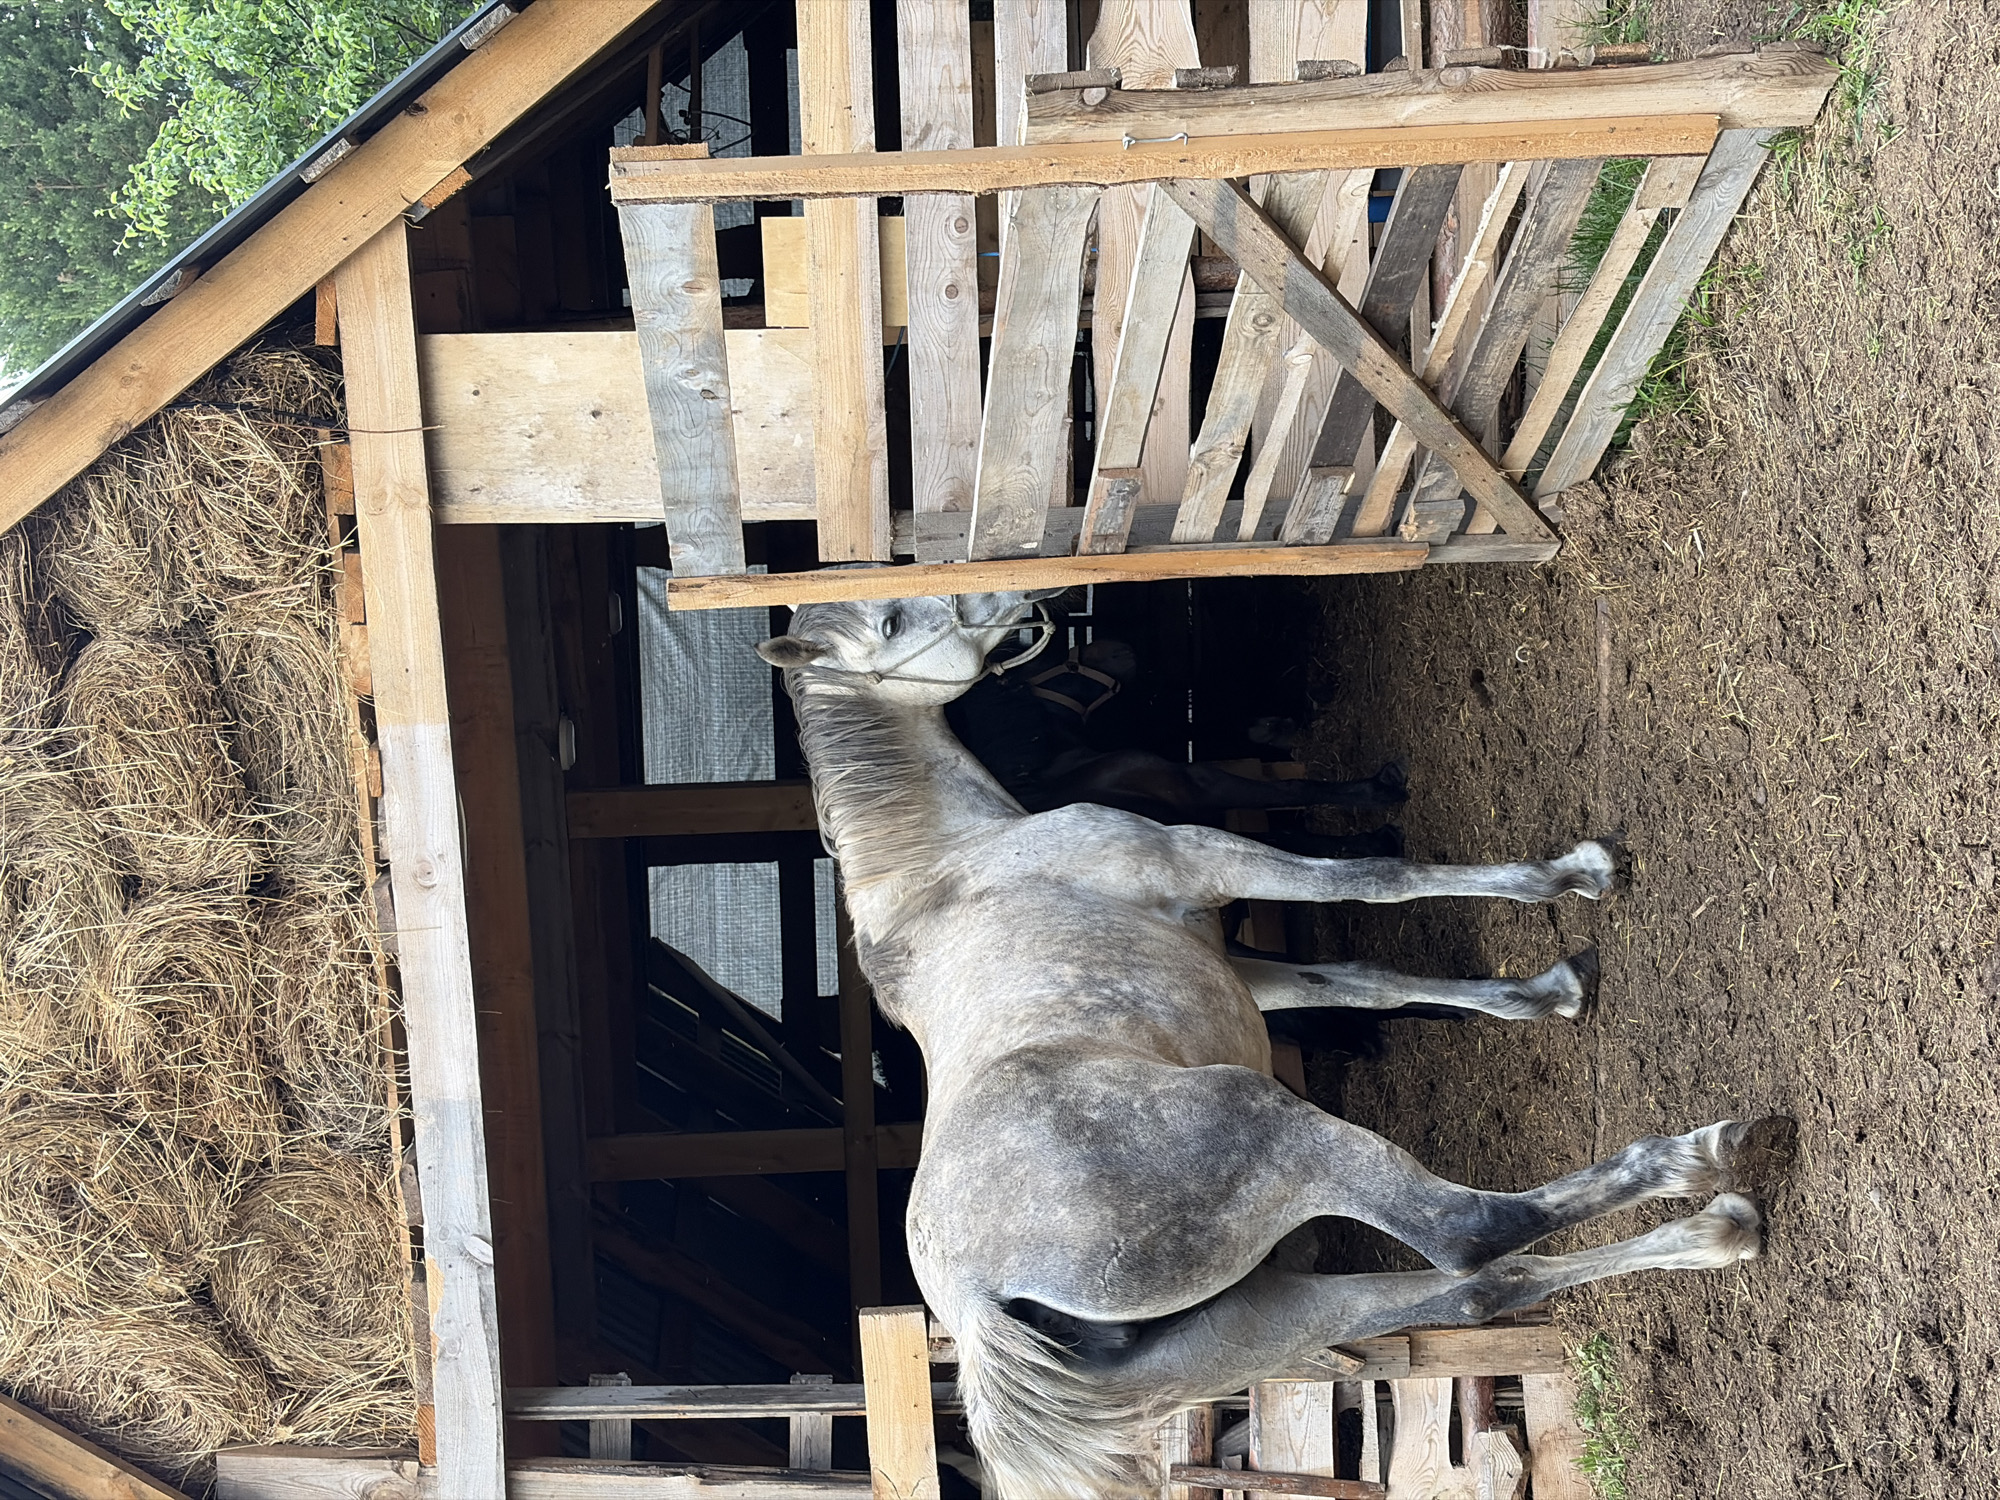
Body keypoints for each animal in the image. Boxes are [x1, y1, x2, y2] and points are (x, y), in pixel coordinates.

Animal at [756, 589, 1789, 1500]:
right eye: (893, 621)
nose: (1014, 603)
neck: (948, 857)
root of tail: (976, 1303)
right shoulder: (1207, 859)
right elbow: (1375, 878)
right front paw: (1571, 876)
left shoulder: (1243, 969)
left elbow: (1365, 980)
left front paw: (1548, 993)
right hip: (1276, 1129)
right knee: (1467, 1235)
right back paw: (1701, 1160)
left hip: (1262, 1314)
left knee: (1472, 1293)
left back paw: (1714, 1234)